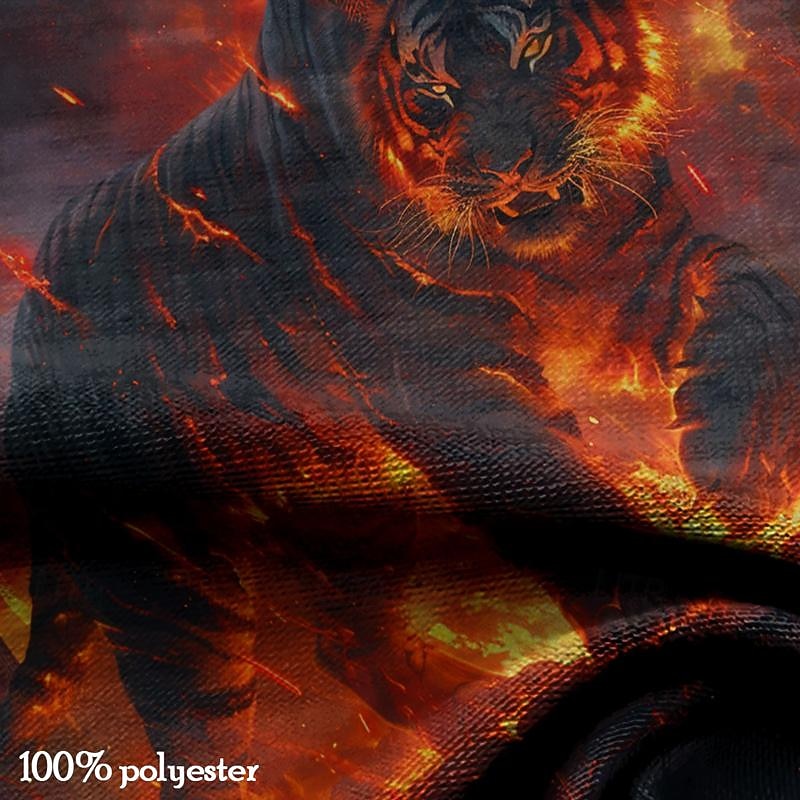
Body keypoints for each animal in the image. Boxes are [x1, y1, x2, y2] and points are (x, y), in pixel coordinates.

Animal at [3, 0, 800, 796]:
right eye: (435, 90)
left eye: (535, 47)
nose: (514, 165)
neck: (550, 257)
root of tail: (29, 330)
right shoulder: (450, 370)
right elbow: (576, 505)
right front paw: (673, 606)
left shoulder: (650, 257)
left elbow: (754, 294)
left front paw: (738, 460)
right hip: (174, 586)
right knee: (199, 742)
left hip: (357, 517)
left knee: (351, 640)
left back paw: (465, 707)